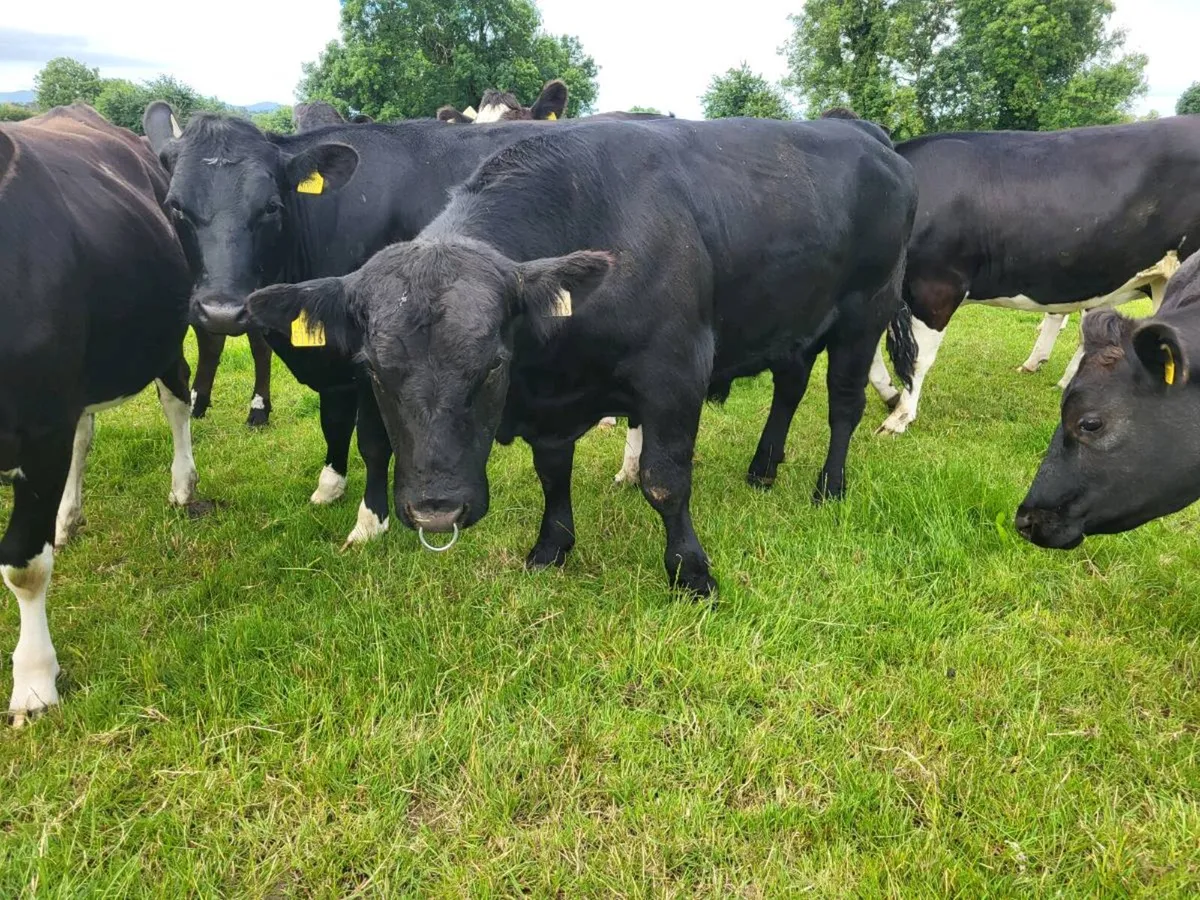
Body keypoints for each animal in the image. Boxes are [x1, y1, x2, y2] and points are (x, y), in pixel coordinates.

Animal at [1, 105, 197, 723]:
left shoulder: (39, 428)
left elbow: (23, 565)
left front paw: (34, 681)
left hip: (163, 332)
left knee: (177, 396)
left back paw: (183, 484)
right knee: (85, 432)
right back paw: (68, 515)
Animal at [140, 104, 677, 548]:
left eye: (270, 206)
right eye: (175, 206)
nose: (221, 311)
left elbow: (374, 442)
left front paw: (369, 520)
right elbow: (332, 422)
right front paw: (329, 485)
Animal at [244, 117, 918, 598]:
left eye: (492, 363)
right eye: (375, 371)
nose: (437, 511)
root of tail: (870, 137)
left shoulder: (676, 371)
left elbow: (665, 481)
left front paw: (690, 572)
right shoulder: (553, 399)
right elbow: (552, 472)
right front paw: (551, 546)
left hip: (866, 311)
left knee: (843, 404)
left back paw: (828, 486)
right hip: (791, 323)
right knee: (789, 386)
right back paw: (763, 467)